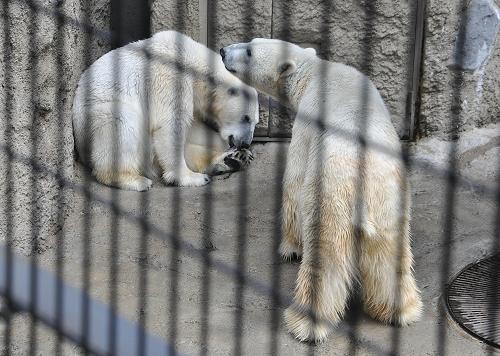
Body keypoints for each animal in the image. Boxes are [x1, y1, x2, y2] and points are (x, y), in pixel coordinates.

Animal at [73, 30, 260, 191]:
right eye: (246, 118)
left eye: (255, 121)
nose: (245, 142)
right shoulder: (169, 78)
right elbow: (170, 126)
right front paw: (190, 178)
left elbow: (193, 128)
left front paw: (232, 151)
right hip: (100, 114)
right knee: (122, 125)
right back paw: (136, 180)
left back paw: (235, 159)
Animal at [223, 39, 422, 342]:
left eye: (249, 51)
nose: (223, 51)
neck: (312, 71)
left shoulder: (307, 123)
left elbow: (294, 182)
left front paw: (290, 248)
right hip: (390, 202)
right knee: (389, 257)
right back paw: (401, 311)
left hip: (332, 199)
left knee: (324, 259)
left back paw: (304, 323)